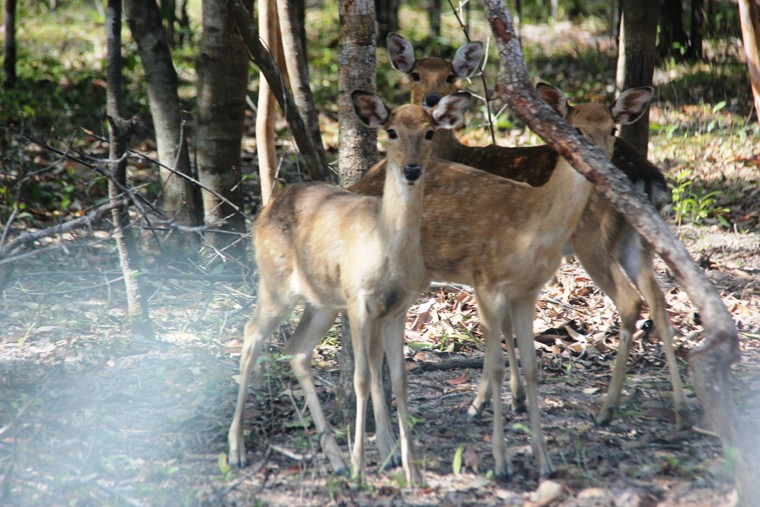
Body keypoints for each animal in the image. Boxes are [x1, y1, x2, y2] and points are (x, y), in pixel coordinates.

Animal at [227, 89, 476, 486]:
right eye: (391, 132)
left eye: (429, 133)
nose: (411, 169)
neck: (386, 247)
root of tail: (267, 208)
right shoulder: (359, 299)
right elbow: (361, 378)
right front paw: (363, 466)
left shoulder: (398, 307)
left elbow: (399, 380)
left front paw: (412, 471)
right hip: (276, 283)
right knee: (252, 335)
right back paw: (237, 450)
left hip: (323, 302)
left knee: (297, 350)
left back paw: (336, 458)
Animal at [350, 81, 652, 478]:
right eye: (575, 130)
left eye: (613, 129)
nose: (600, 162)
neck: (531, 224)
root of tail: (359, 182)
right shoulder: (487, 282)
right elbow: (494, 365)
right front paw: (500, 460)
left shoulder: (528, 290)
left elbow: (533, 365)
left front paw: (543, 460)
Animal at [386, 32, 688, 428]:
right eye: (416, 74)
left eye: (451, 76)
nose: (432, 100)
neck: (458, 156)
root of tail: (649, 178)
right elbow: (508, 323)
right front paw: (514, 397)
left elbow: (499, 324)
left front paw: (488, 400)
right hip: (638, 240)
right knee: (659, 299)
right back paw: (681, 405)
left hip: (592, 238)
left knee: (630, 300)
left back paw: (607, 409)